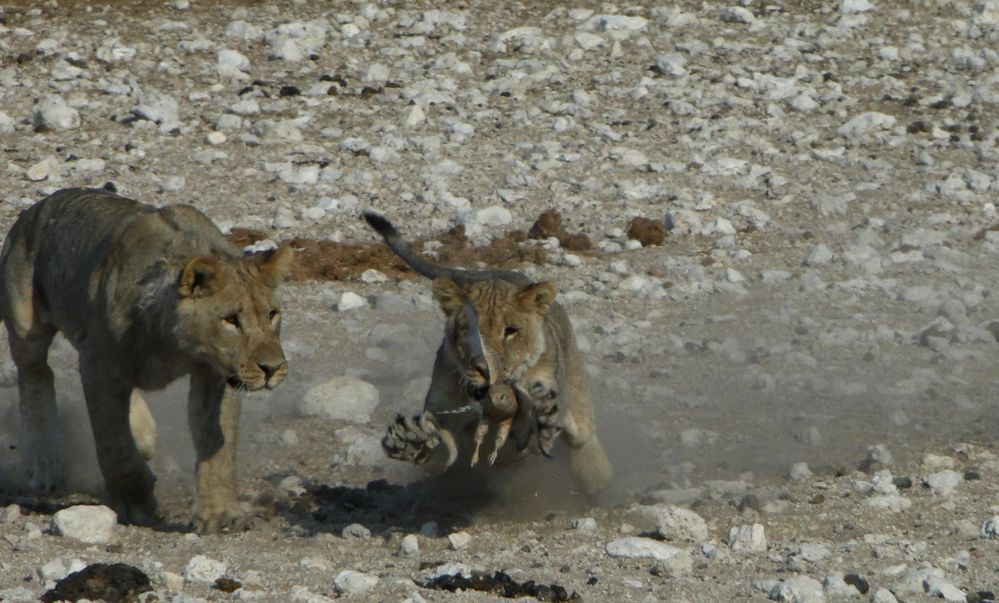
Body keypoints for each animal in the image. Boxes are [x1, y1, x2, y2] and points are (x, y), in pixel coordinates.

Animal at [0, 189, 294, 532]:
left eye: (272, 314)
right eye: (231, 320)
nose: (272, 369)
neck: (176, 344)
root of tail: (35, 209)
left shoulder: (218, 375)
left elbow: (218, 446)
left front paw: (220, 513)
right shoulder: (100, 366)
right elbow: (116, 448)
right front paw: (136, 503)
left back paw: (143, 434)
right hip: (26, 321)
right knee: (36, 373)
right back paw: (45, 463)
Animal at [364, 212, 612, 496]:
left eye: (511, 331)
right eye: (469, 329)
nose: (486, 369)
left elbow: (520, 440)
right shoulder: (442, 413)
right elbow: (443, 448)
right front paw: (411, 441)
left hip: (577, 397)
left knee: (583, 437)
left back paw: (597, 478)